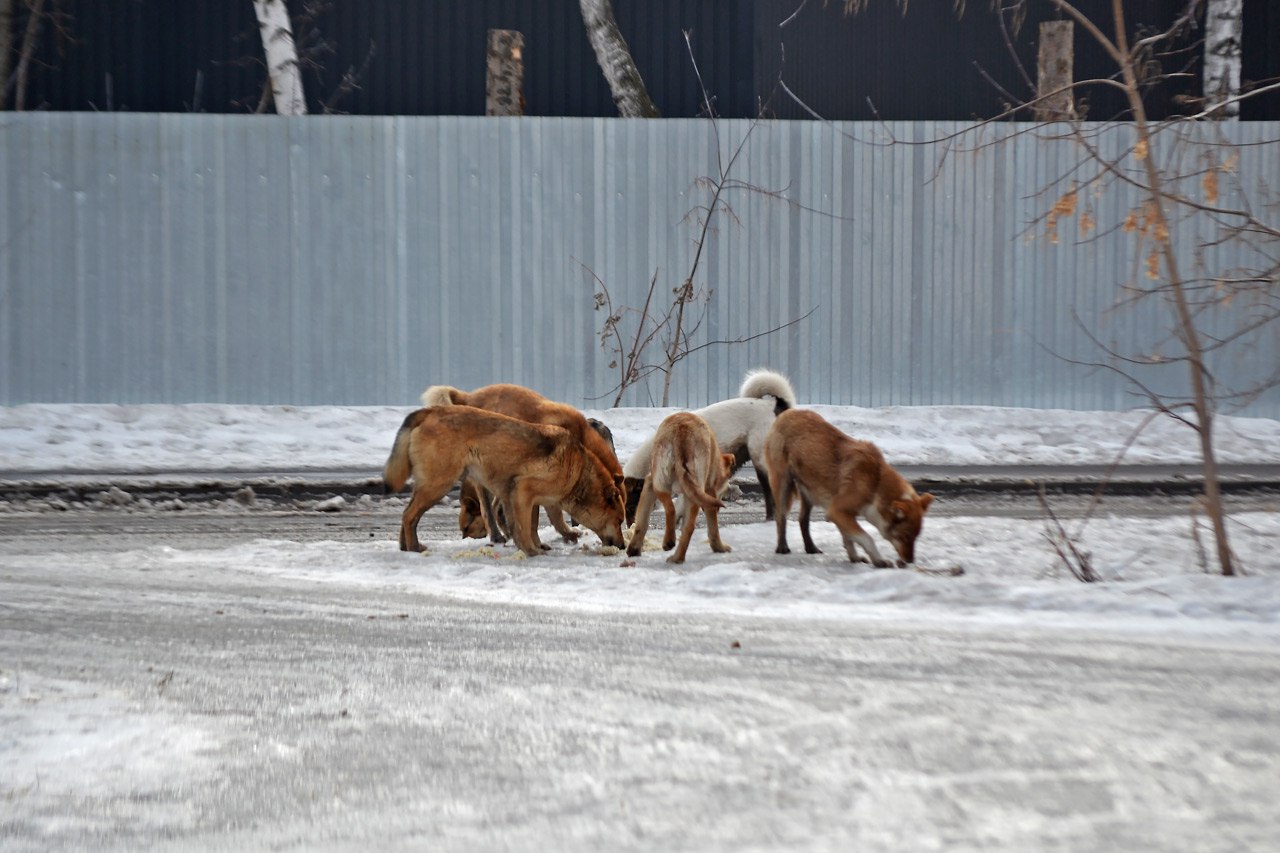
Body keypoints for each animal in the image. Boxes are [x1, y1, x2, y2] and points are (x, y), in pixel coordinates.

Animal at [381, 404, 627, 555]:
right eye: (619, 521)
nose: (624, 546)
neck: (579, 471)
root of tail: (429, 411)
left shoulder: (526, 499)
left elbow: (535, 525)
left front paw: (536, 545)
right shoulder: (524, 492)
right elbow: (527, 526)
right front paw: (531, 550)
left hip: (429, 486)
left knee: (408, 514)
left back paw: (405, 546)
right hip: (438, 485)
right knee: (409, 516)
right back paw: (413, 547)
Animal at [424, 379, 624, 545]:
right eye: (618, 519)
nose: (622, 545)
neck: (580, 438)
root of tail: (468, 397)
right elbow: (549, 516)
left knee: (496, 506)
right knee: (487, 505)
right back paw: (497, 535)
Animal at [622, 366, 793, 522]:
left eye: (630, 505)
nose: (630, 526)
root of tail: (775, 406)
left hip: (760, 460)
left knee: (772, 489)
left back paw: (772, 518)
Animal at [624, 412, 737, 563]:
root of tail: (683, 432)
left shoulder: (649, 485)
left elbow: (642, 523)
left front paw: (634, 549)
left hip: (661, 483)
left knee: (672, 511)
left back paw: (672, 547)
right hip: (679, 487)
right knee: (686, 524)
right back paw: (676, 555)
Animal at [757, 409, 931, 568]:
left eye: (916, 537)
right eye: (905, 536)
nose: (910, 561)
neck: (876, 483)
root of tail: (787, 412)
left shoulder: (842, 514)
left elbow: (849, 538)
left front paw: (854, 558)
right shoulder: (837, 511)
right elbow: (866, 538)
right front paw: (879, 560)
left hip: (809, 491)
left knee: (803, 520)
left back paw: (811, 548)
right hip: (783, 484)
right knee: (781, 517)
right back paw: (782, 547)